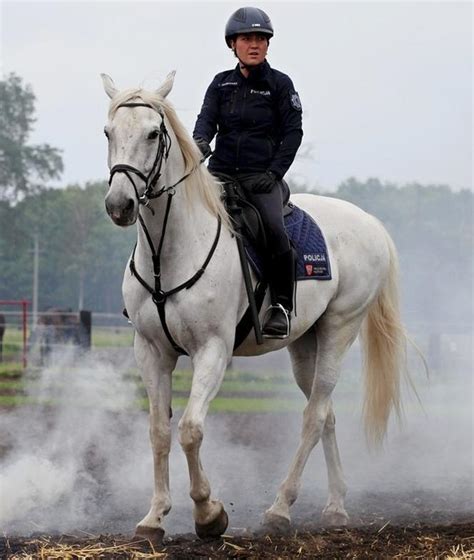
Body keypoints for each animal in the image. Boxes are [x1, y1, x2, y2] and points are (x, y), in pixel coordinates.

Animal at [100, 72, 408, 544]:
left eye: (153, 133)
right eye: (108, 132)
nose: (120, 205)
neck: (169, 253)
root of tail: (369, 222)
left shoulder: (213, 350)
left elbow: (190, 430)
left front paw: (209, 514)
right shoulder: (151, 352)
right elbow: (158, 431)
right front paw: (154, 518)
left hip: (340, 330)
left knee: (314, 417)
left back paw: (280, 509)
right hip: (304, 344)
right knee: (327, 415)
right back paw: (335, 507)